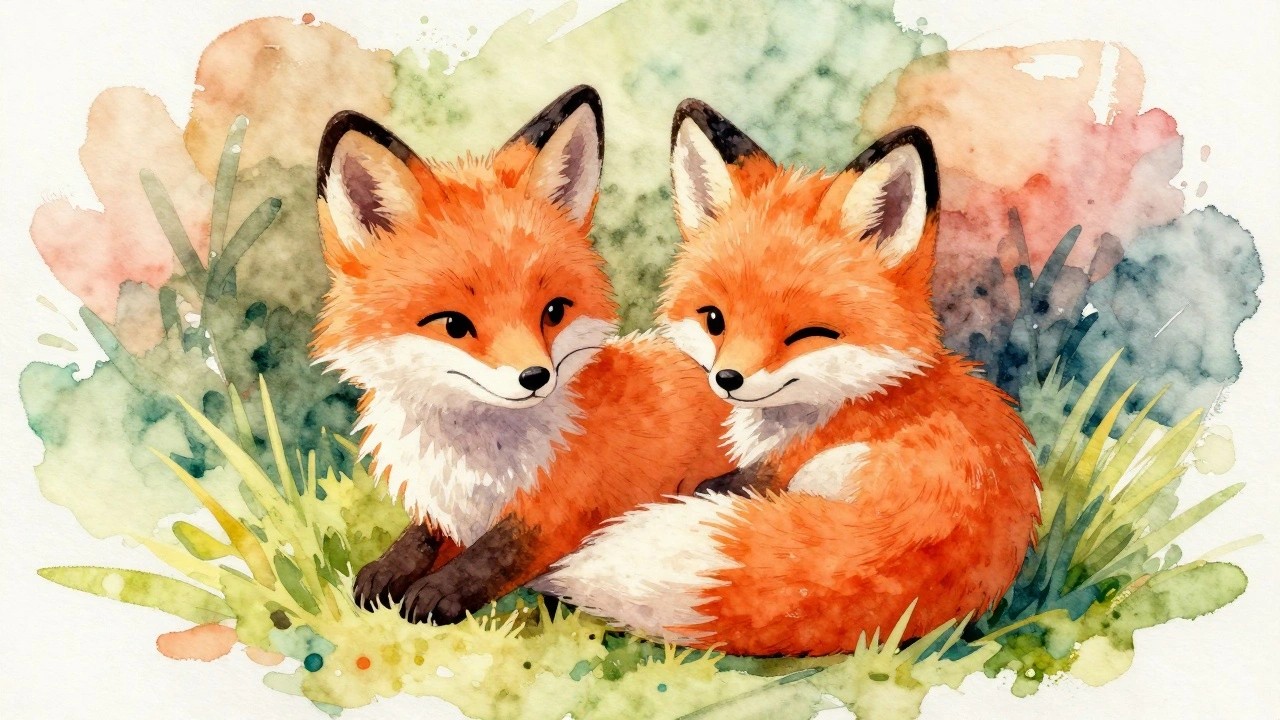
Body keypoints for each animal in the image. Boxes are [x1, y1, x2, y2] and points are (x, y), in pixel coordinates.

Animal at [311, 86, 735, 624]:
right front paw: (388, 570)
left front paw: (435, 594)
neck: (475, 462)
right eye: (454, 325)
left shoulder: (564, 510)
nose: (536, 377)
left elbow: (495, 554)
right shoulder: (448, 506)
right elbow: (421, 539)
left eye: (553, 311)